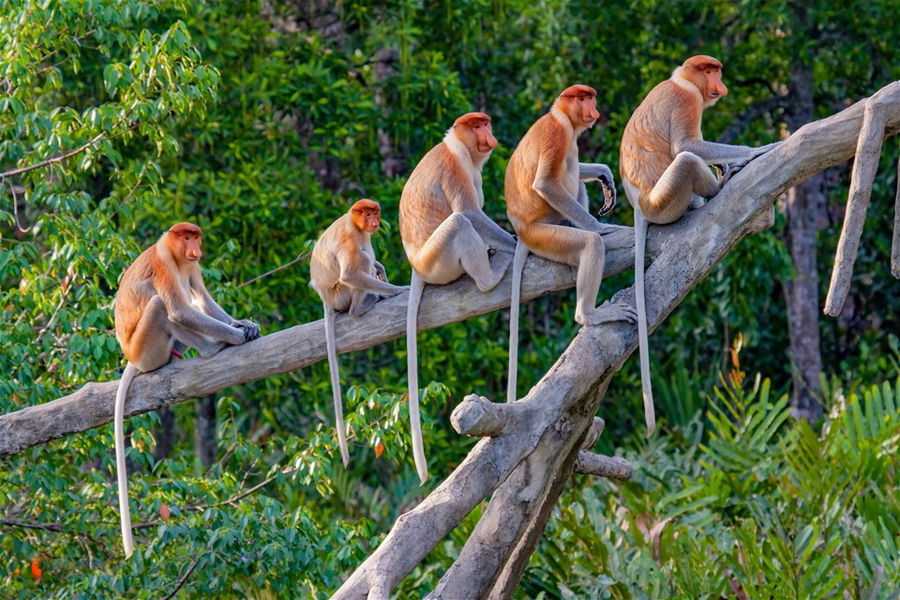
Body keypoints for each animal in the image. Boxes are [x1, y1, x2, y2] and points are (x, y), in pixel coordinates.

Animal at [111, 224, 260, 556]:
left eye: (196, 237)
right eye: (186, 237)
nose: (194, 248)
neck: (176, 254)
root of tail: (131, 356)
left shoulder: (192, 266)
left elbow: (202, 298)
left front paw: (243, 323)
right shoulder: (164, 263)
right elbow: (179, 310)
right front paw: (235, 336)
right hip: (147, 350)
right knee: (162, 306)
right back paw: (212, 347)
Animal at [310, 199, 408, 466]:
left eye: (375, 213)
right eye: (367, 214)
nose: (374, 222)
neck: (353, 222)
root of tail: (326, 299)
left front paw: (381, 269)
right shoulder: (350, 236)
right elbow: (351, 273)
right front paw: (396, 289)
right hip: (340, 294)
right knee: (360, 261)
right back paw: (361, 306)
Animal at [506, 84, 640, 404]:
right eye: (583, 98)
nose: (594, 109)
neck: (561, 117)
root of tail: (522, 230)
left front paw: (604, 174)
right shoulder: (558, 135)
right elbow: (546, 184)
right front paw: (602, 228)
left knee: (575, 178)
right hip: (546, 234)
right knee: (588, 242)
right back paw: (589, 314)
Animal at [620, 54, 780, 434]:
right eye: (710, 71)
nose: (721, 85)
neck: (681, 80)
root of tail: (640, 205)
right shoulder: (687, 101)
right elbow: (687, 146)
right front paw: (754, 151)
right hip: (665, 200)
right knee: (687, 160)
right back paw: (717, 187)